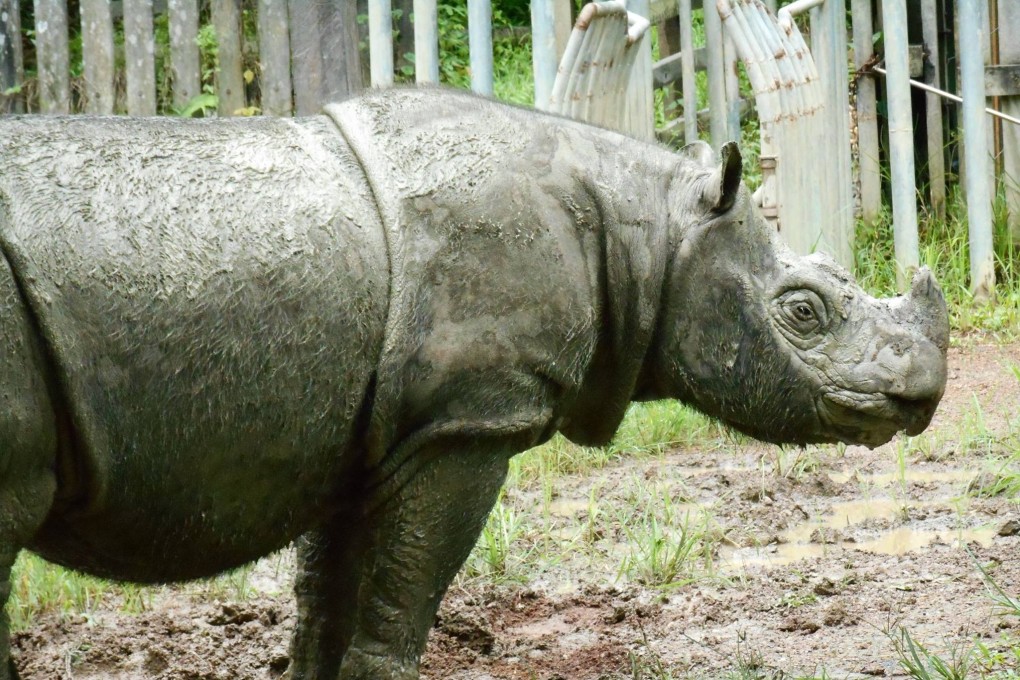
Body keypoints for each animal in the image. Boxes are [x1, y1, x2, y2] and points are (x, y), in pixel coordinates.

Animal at [0, 88, 947, 679]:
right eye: (804, 312)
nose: (925, 397)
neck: (653, 230)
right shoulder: (472, 418)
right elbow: (400, 604)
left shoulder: (369, 427)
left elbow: (324, 608)